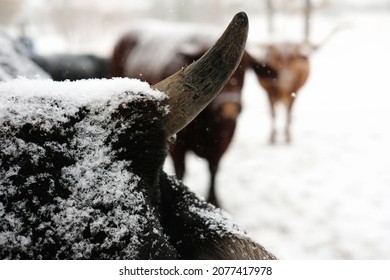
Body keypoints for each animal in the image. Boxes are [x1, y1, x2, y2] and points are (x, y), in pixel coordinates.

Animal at [111, 18, 272, 207]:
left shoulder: (224, 139)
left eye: (246, 70)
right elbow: (181, 170)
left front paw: (214, 199)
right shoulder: (178, 146)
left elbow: (214, 168)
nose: (229, 108)